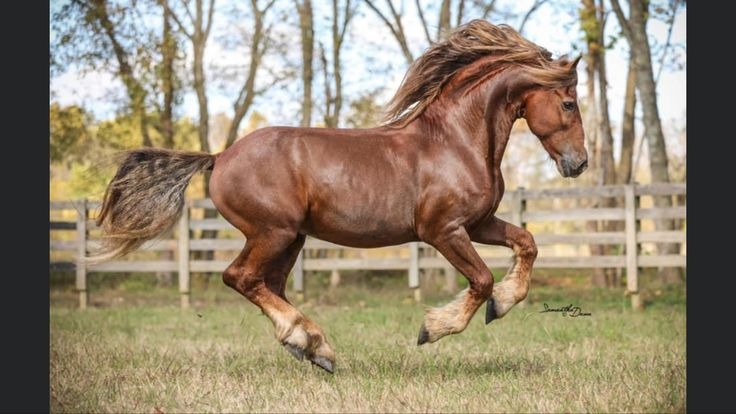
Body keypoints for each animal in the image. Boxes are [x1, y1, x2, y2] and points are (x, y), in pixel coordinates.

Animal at [90, 20, 587, 373]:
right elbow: (481, 279)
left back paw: (314, 349)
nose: (578, 164)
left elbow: (527, 243)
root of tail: (219, 156)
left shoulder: (479, 223)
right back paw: (310, 343)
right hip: (272, 231)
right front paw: (433, 328)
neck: (455, 141)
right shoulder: (443, 230)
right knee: (241, 278)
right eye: (568, 103)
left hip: (291, 239)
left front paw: (502, 304)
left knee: (269, 285)